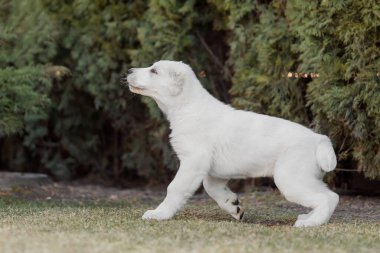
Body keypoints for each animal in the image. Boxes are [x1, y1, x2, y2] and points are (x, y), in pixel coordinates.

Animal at [126, 60, 340, 226]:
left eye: (154, 71)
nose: (128, 71)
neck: (188, 107)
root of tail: (319, 139)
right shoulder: (213, 172)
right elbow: (212, 188)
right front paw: (233, 206)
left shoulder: (193, 162)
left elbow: (174, 188)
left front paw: (159, 214)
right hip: (303, 178)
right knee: (327, 195)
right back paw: (308, 217)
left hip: (291, 178)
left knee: (328, 197)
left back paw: (311, 223)